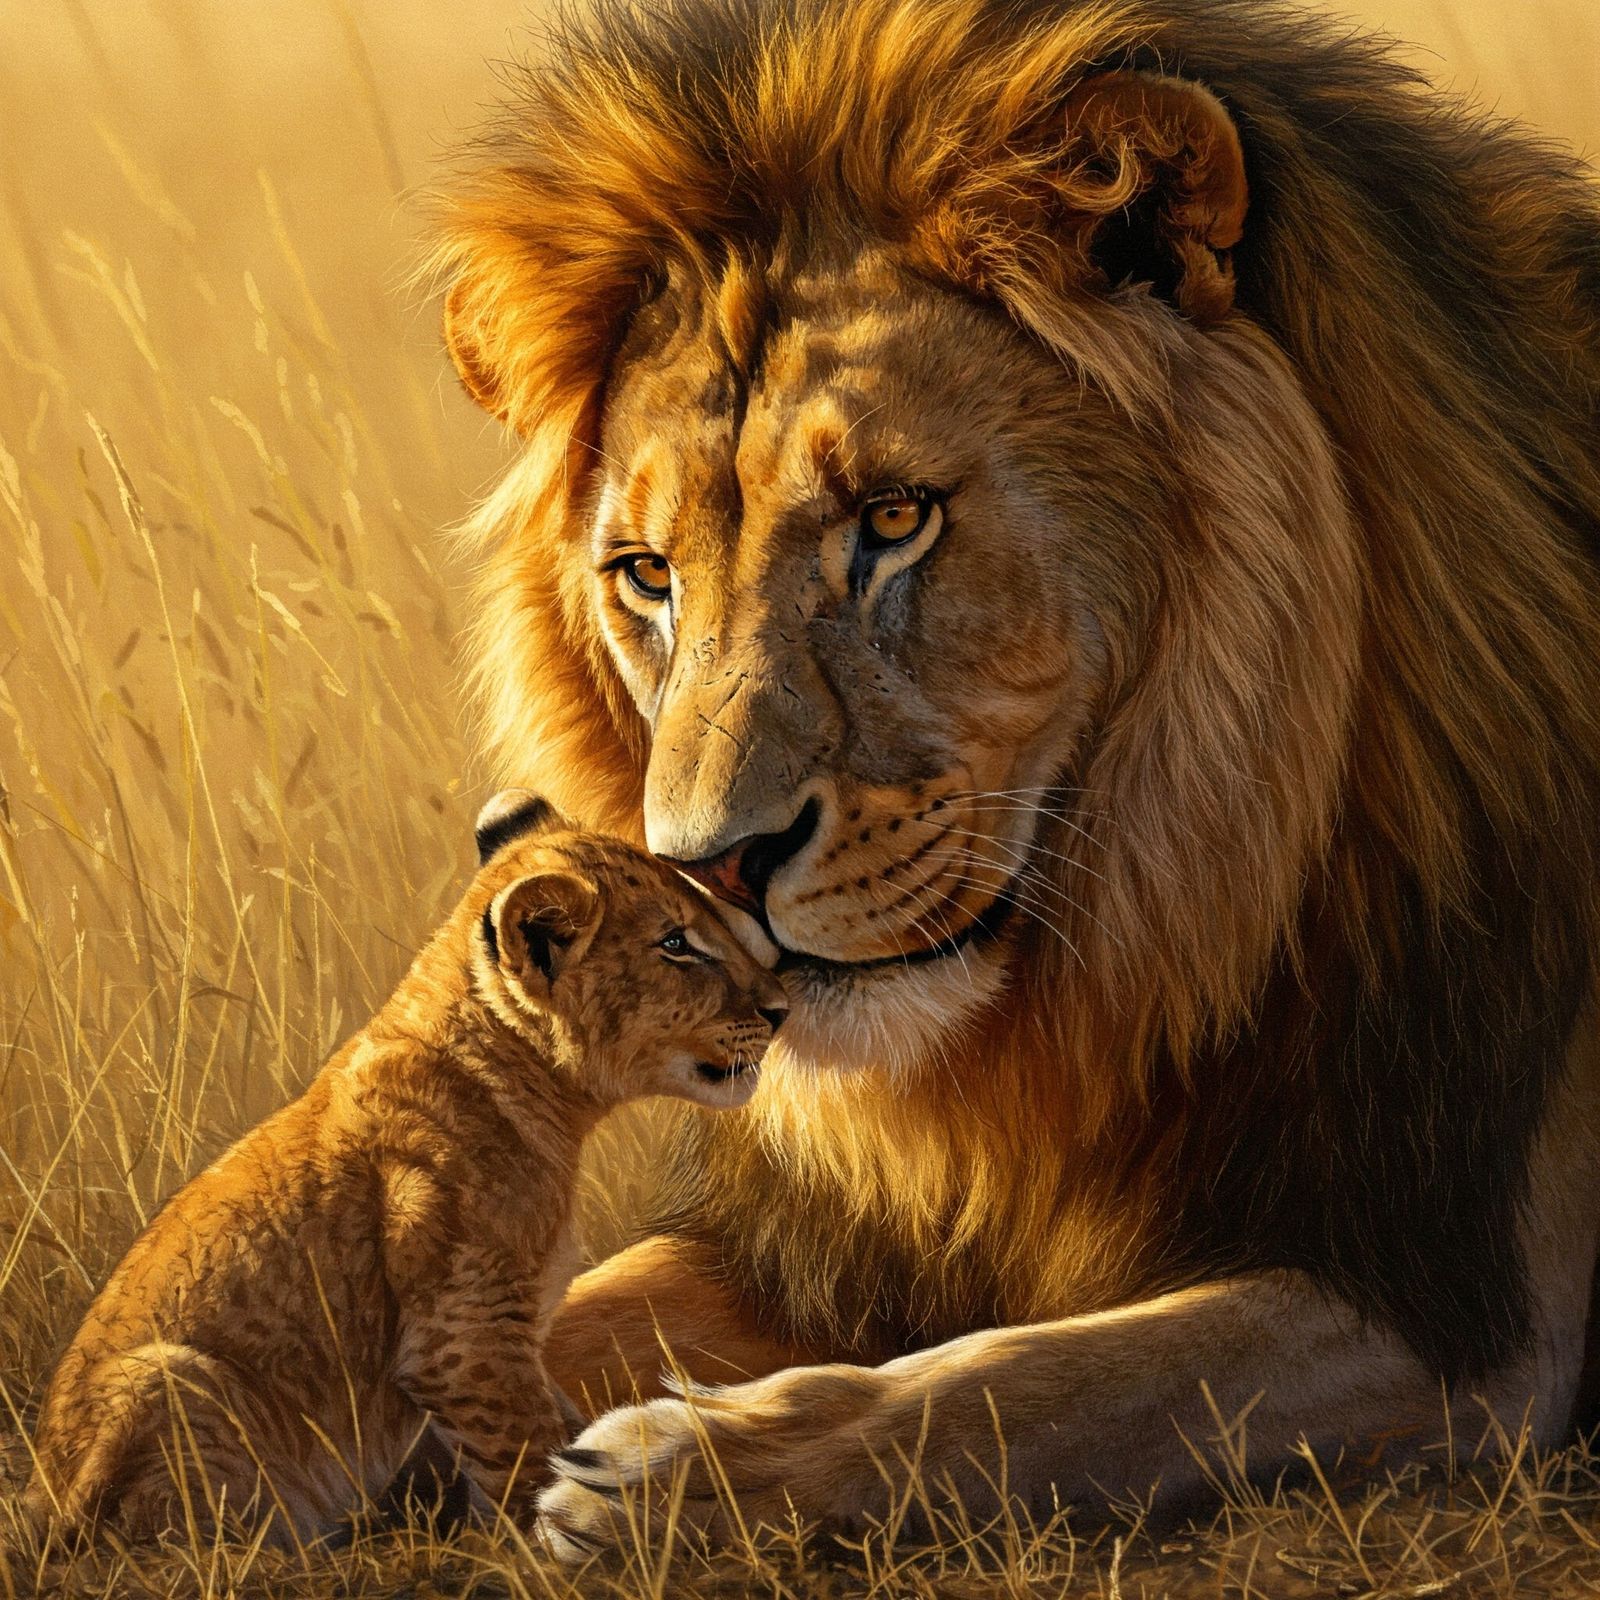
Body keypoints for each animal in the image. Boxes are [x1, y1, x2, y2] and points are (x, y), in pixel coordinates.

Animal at [24, 793, 785, 1545]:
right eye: (676, 944)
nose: (780, 1009)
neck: (537, 1094)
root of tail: (37, 1505)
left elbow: (562, 1427)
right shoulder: (461, 1336)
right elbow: (528, 1454)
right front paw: (573, 1540)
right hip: (174, 1378)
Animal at [429, 0, 1600, 1552]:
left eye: (894, 518)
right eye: (645, 576)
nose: (709, 865)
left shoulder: (1468, 1310)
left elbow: (1031, 1386)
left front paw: (676, 1470)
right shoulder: (814, 1242)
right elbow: (547, 1311)